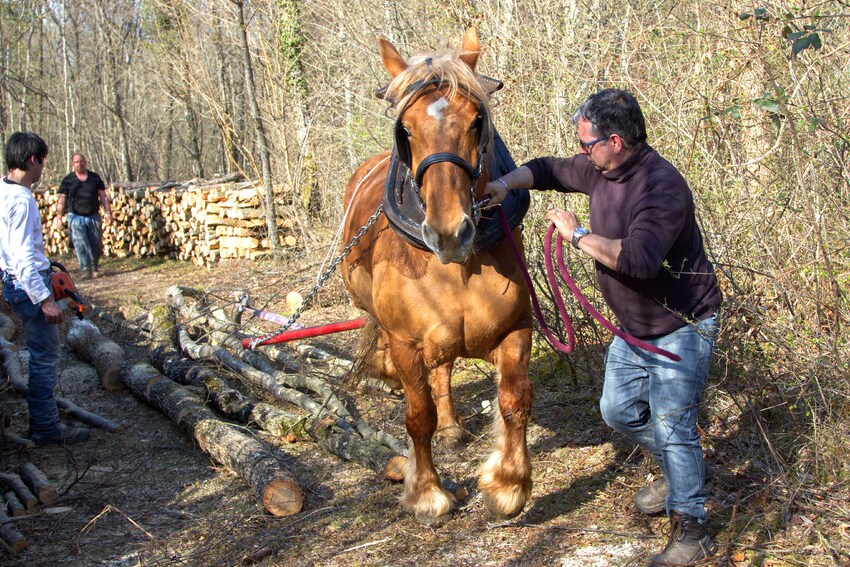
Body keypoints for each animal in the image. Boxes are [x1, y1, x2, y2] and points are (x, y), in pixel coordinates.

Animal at [340, 27, 528, 524]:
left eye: (477, 121)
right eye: (405, 129)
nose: (448, 232)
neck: (456, 267)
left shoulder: (516, 328)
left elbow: (514, 401)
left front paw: (508, 484)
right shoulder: (405, 341)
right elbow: (416, 415)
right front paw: (426, 492)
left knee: (443, 367)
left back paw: (451, 426)